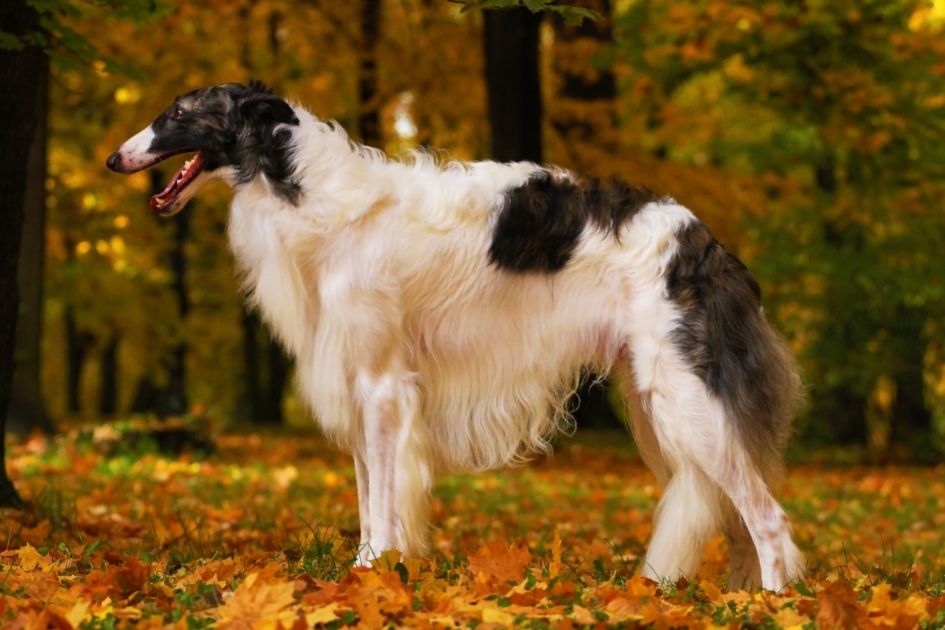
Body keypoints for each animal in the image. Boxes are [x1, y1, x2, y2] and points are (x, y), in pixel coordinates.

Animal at [109, 81, 804, 592]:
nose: (114, 158)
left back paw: (771, 602)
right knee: (735, 521)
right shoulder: (357, 385)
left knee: (767, 517)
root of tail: (708, 241)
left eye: (177, 114)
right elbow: (367, 499)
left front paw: (375, 575)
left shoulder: (383, 387)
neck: (308, 195)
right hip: (655, 404)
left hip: (686, 401)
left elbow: (385, 505)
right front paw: (365, 574)